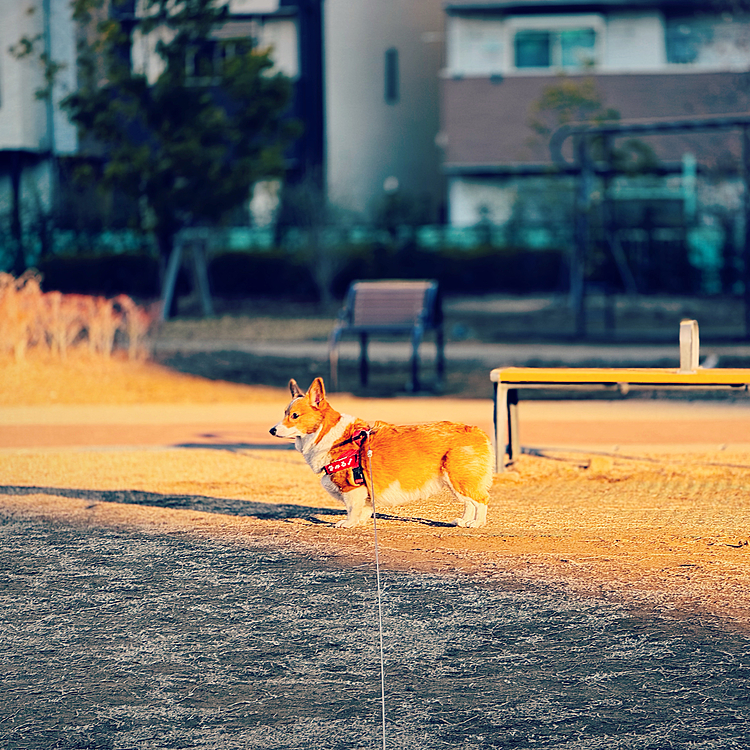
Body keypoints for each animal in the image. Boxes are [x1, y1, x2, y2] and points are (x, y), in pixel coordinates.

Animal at [270, 376, 494, 528]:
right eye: (284, 414)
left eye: (294, 415)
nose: (272, 430)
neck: (327, 434)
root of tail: (478, 431)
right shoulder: (366, 489)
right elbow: (365, 508)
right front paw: (360, 522)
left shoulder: (351, 488)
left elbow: (352, 508)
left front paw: (348, 523)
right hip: (455, 481)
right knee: (469, 503)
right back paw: (463, 521)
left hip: (458, 477)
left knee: (481, 500)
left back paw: (477, 523)